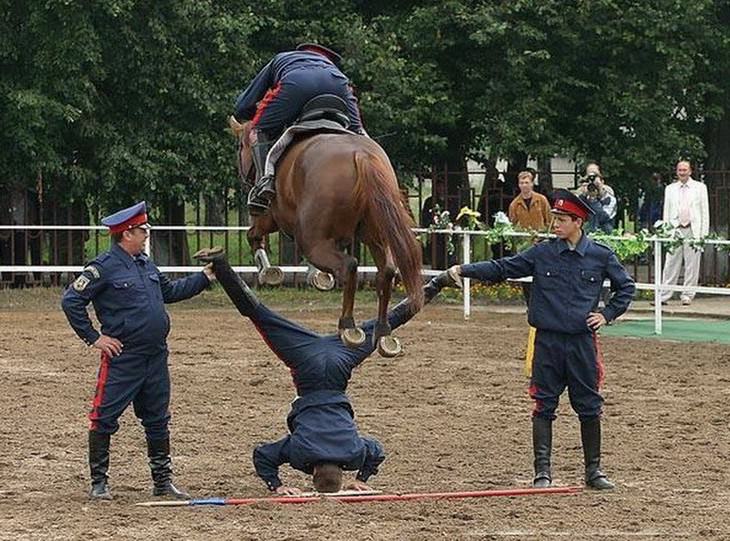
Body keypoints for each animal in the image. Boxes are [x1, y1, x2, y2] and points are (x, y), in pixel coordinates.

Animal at [228, 116, 420, 356]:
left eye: (239, 147)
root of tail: (361, 155)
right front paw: (317, 276)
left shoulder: (269, 216)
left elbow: (253, 235)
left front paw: (268, 271)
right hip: (376, 237)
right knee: (386, 271)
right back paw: (383, 332)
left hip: (313, 242)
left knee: (349, 266)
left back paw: (348, 326)